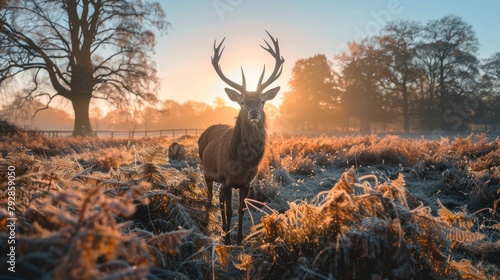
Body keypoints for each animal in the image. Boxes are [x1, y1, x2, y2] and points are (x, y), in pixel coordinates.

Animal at [199, 31, 286, 245]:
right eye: (242, 101)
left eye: (262, 101)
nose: (254, 113)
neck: (243, 164)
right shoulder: (227, 178)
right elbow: (230, 210)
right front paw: (228, 241)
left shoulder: (247, 182)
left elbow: (241, 210)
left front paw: (238, 239)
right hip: (206, 171)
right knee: (210, 197)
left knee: (219, 199)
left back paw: (224, 229)